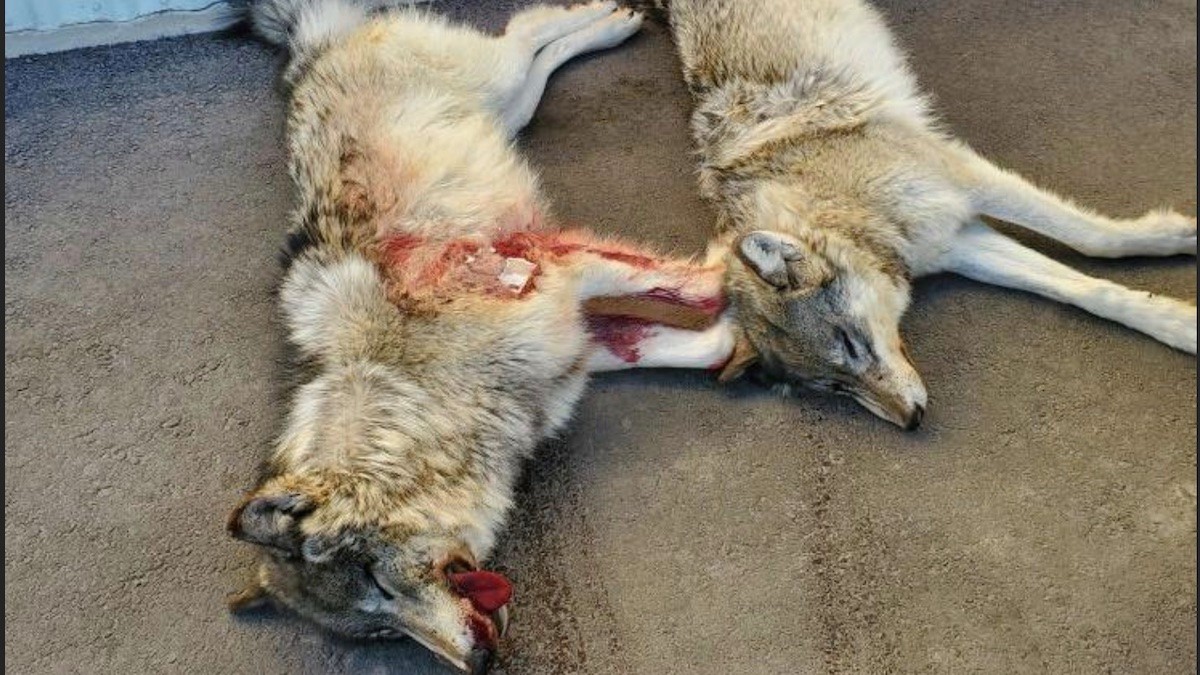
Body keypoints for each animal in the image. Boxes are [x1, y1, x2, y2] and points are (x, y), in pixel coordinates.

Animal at [225, 1, 734, 672]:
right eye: (383, 633)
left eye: (380, 584)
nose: (479, 661)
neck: (422, 396)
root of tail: (309, 50)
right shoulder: (577, 348)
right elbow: (688, 340)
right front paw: (741, 338)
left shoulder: (563, 277)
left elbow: (700, 289)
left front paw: (747, 266)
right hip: (509, 102)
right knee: (534, 54)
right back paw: (613, 22)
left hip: (496, 78)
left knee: (525, 29)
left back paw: (614, 19)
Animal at [658, 0, 1197, 429]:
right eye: (834, 386)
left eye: (850, 344)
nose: (912, 421)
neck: (836, 205)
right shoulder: (958, 242)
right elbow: (1087, 291)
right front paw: (1180, 324)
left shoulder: (970, 181)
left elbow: (1095, 240)